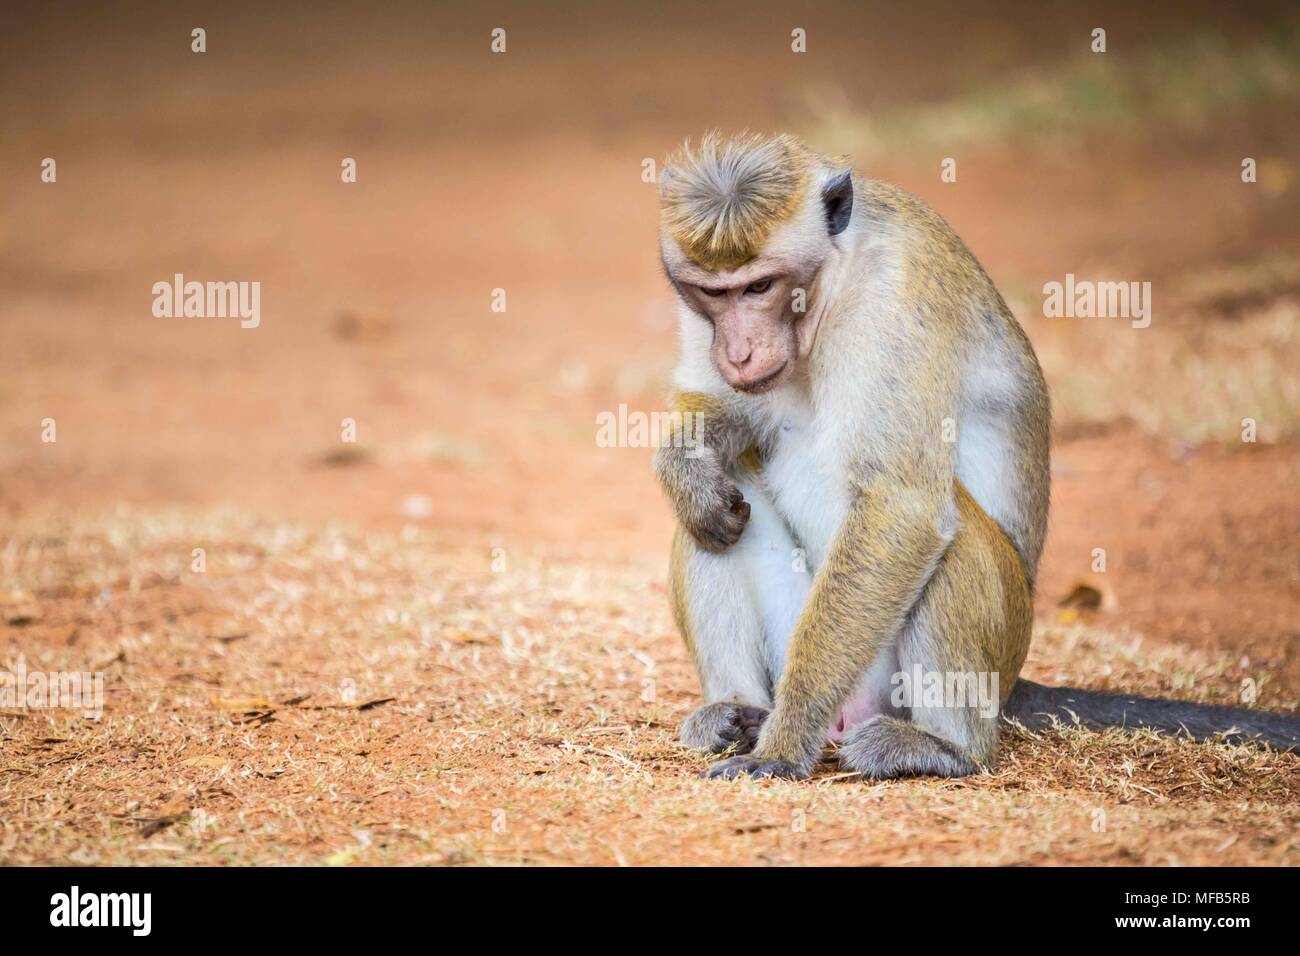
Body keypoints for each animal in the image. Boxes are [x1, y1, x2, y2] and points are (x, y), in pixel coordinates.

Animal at [652, 131, 1299, 781]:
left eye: (759, 286)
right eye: (713, 293)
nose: (738, 351)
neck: (831, 283)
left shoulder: (893, 298)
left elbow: (904, 509)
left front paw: (783, 748)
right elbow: (725, 420)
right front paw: (685, 470)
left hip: (983, 650)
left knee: (950, 529)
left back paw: (946, 746)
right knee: (719, 512)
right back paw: (735, 707)